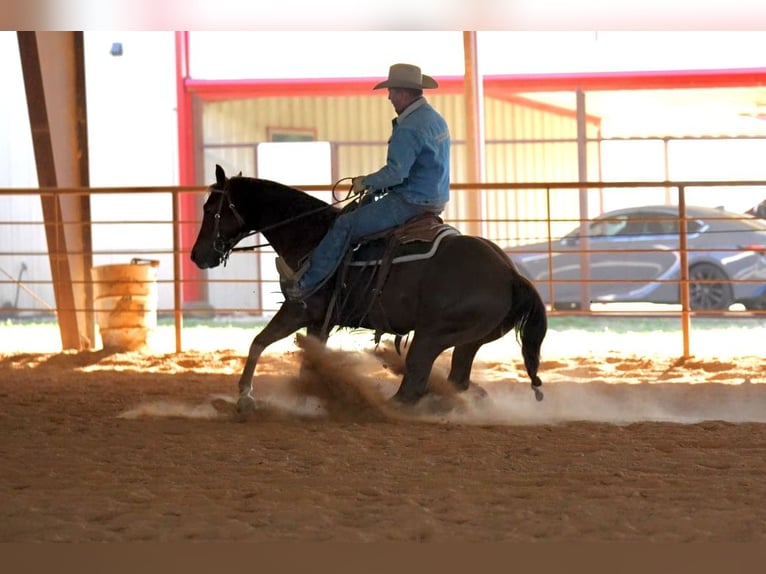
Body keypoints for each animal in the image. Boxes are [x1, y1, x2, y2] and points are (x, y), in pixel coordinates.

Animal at [192, 165, 552, 414]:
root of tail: (510, 274)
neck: (310, 233)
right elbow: (307, 361)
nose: (198, 255)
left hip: (432, 336)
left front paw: (245, 397)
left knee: (414, 385)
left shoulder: (298, 309)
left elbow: (258, 342)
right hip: (469, 340)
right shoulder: (318, 322)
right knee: (458, 382)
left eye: (210, 210)